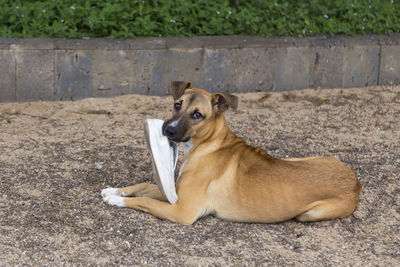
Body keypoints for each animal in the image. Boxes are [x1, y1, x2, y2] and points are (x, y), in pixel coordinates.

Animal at [101, 82, 362, 226]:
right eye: (177, 104)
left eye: (197, 115)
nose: (168, 129)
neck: (210, 144)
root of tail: (356, 183)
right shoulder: (175, 194)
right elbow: (145, 186)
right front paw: (115, 190)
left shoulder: (182, 210)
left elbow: (144, 200)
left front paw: (118, 200)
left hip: (310, 214)